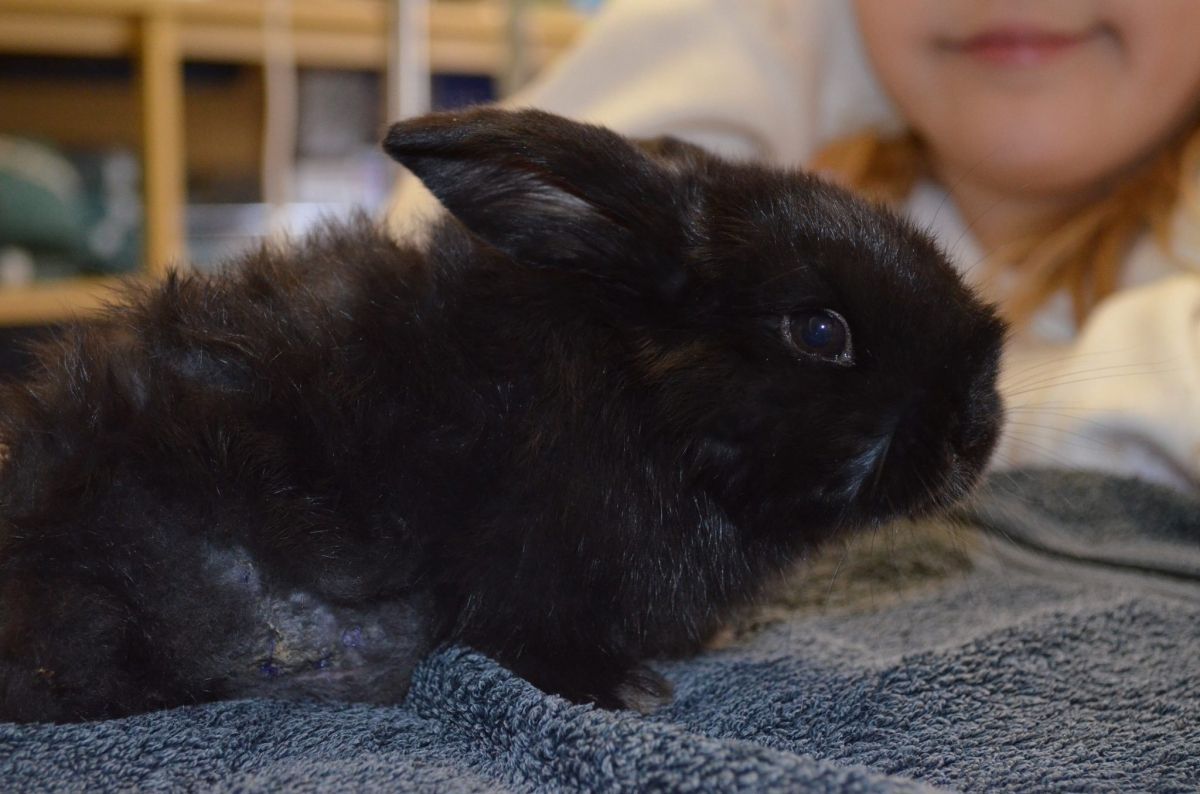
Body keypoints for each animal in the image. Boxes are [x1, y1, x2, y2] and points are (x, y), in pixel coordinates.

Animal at [0, 108, 1006, 723]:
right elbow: (535, 639)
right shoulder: (536, 575)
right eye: (821, 330)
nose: (978, 431)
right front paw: (632, 691)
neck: (649, 408)